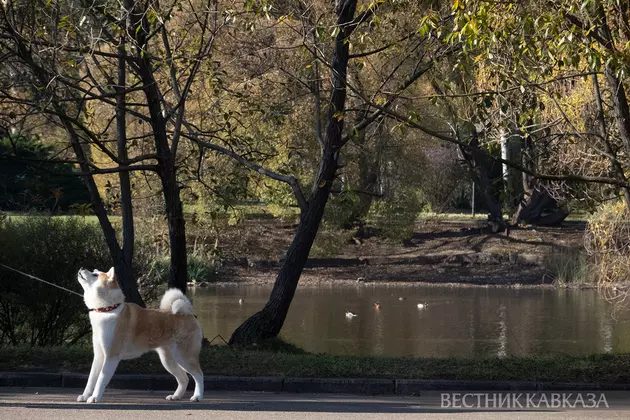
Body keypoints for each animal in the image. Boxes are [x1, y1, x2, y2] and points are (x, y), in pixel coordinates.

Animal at [76, 268, 205, 402]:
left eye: (95, 274)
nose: (81, 268)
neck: (107, 310)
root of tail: (187, 314)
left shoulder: (111, 356)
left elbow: (100, 380)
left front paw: (95, 397)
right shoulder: (99, 356)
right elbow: (91, 379)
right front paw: (85, 396)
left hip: (184, 357)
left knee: (199, 375)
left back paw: (197, 396)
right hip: (168, 360)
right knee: (184, 378)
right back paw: (176, 396)